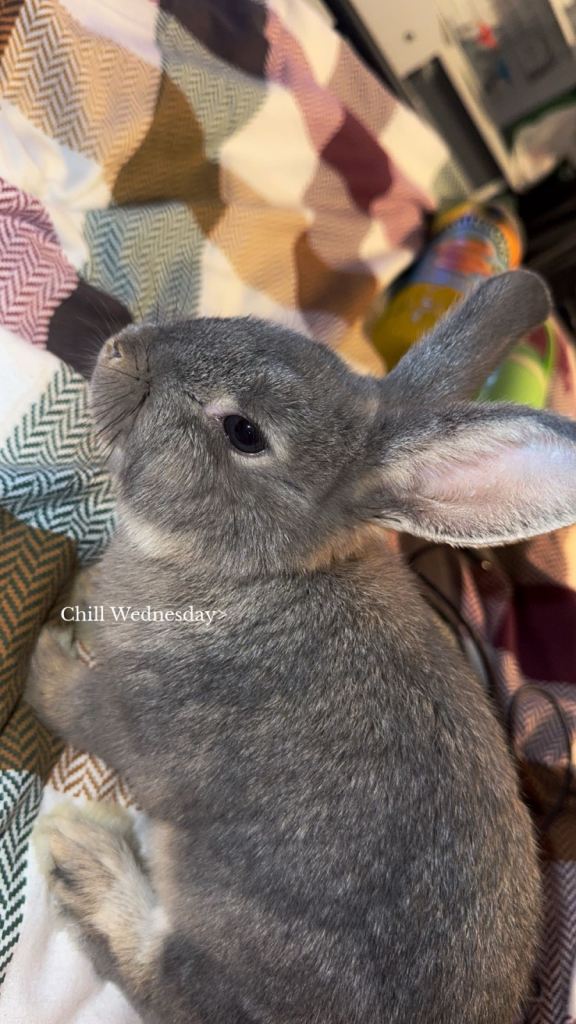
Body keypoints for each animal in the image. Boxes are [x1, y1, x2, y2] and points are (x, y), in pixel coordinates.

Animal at [27, 269, 576, 1024]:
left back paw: (82, 861)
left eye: (244, 432)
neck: (260, 572)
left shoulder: (133, 716)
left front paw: (42, 654)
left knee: (170, 983)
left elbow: (75, 707)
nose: (119, 349)